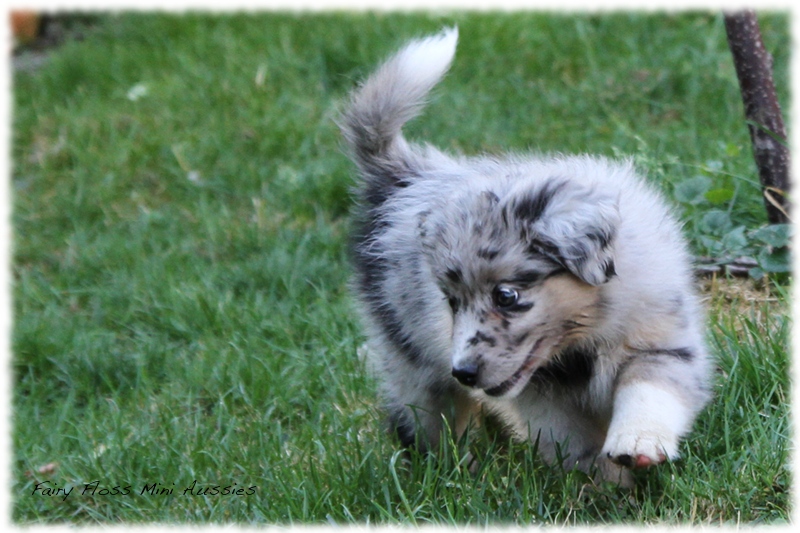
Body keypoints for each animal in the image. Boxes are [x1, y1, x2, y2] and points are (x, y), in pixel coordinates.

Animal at [340, 28, 716, 482]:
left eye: (507, 297)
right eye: (451, 302)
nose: (464, 372)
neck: (578, 342)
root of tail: (403, 176)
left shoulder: (662, 343)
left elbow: (650, 390)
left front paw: (637, 443)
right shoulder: (543, 398)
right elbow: (573, 443)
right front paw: (606, 483)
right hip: (410, 360)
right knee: (426, 420)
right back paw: (453, 471)